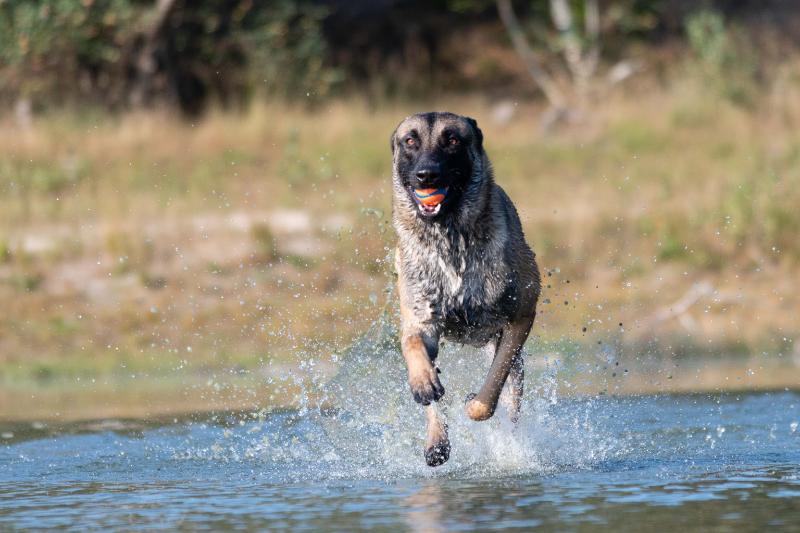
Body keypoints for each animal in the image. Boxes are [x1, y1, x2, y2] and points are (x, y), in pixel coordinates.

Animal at [390, 110, 540, 464]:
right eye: (410, 140)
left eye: (453, 140)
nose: (426, 175)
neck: (449, 239)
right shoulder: (421, 321)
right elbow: (412, 344)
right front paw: (422, 382)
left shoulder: (520, 318)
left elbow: (493, 386)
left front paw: (474, 404)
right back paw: (436, 439)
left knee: (510, 397)